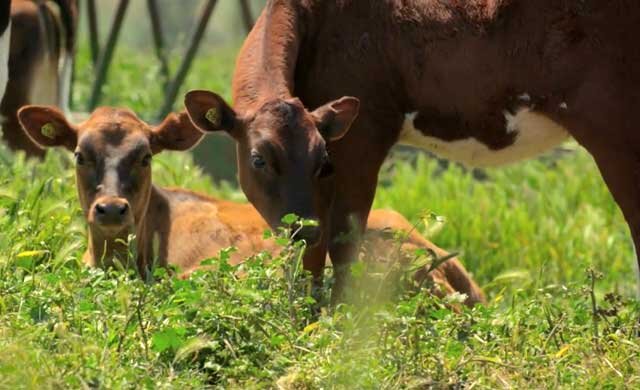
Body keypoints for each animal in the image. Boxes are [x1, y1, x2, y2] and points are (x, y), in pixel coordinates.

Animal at [185, 1, 640, 298]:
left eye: (322, 162)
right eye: (260, 158)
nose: (303, 226)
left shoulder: (364, 136)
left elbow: (342, 245)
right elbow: (314, 255)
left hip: (614, 131)